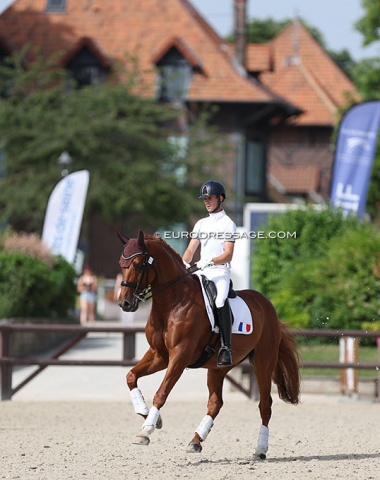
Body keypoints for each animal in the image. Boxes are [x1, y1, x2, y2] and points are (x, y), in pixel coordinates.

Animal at [116, 231, 300, 460]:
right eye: (121, 264)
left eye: (139, 264)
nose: (125, 303)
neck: (172, 303)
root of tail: (268, 306)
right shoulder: (159, 355)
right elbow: (131, 376)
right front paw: (150, 417)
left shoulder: (180, 356)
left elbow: (162, 392)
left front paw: (146, 430)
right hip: (218, 368)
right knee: (215, 403)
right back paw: (196, 441)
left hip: (263, 363)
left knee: (265, 405)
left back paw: (260, 449)